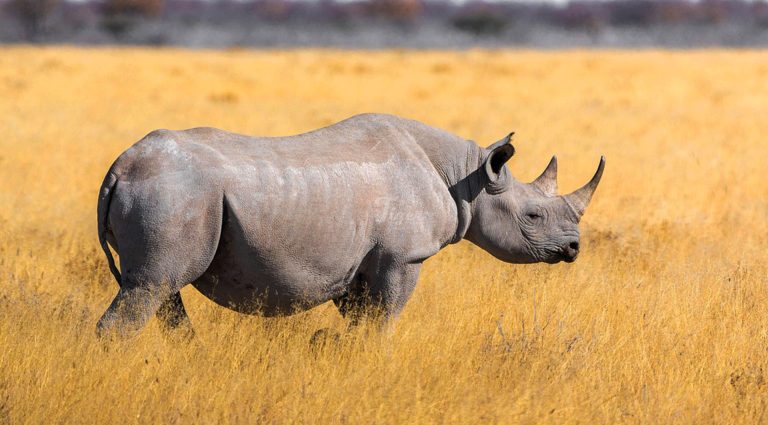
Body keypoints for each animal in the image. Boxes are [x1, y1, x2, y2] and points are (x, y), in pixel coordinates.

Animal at [96, 113, 604, 338]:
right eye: (533, 216)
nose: (574, 249)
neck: (468, 176)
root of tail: (120, 167)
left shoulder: (359, 262)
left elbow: (362, 322)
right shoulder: (402, 257)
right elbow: (384, 321)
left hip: (176, 194)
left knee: (160, 289)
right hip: (175, 192)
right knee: (150, 287)